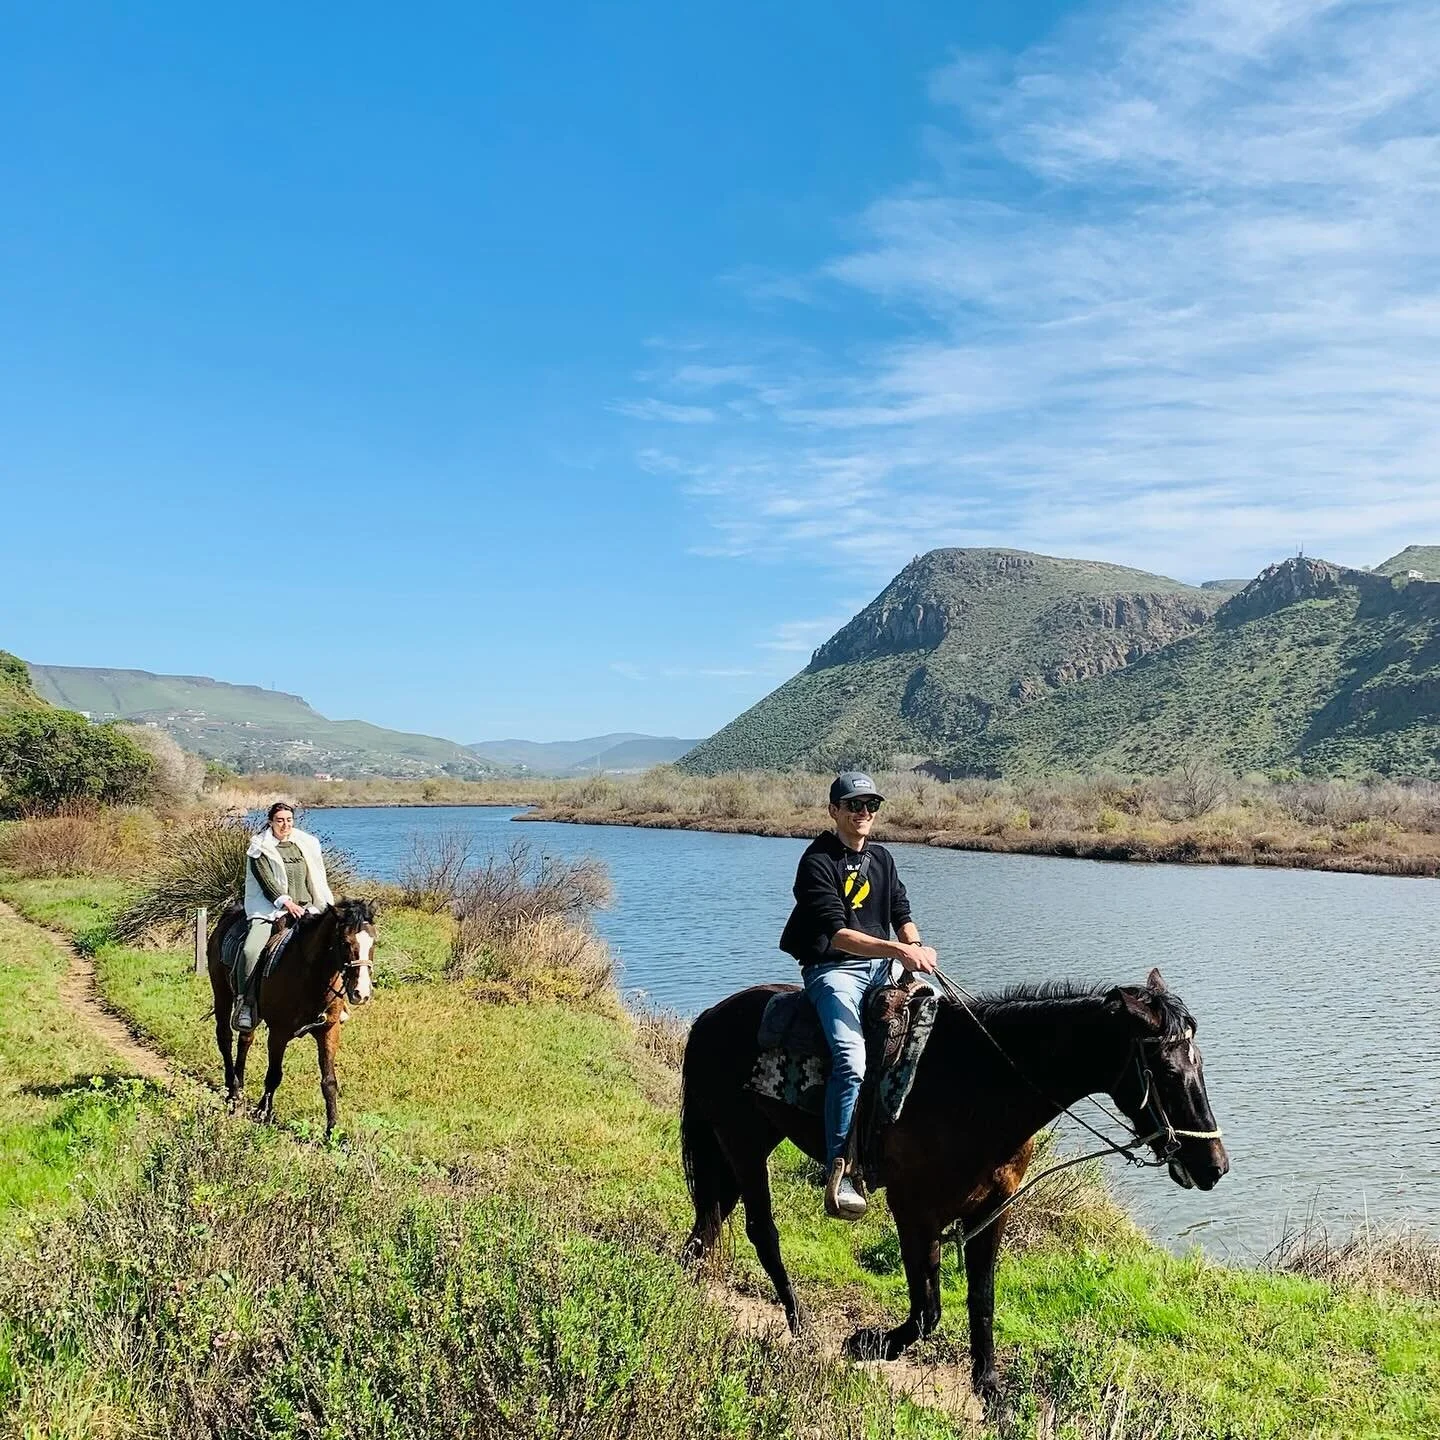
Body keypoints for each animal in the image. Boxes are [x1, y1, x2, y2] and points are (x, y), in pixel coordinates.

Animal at [207, 898, 377, 1137]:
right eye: (345, 942)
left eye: (374, 942)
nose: (361, 993)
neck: (311, 975)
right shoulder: (279, 1032)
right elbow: (274, 1074)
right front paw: (263, 1112)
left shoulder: (329, 1030)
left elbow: (329, 1081)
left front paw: (332, 1130)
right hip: (221, 992)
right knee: (224, 1038)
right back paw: (232, 1092)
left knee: (245, 1040)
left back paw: (239, 1088)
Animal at [679, 967, 1227, 1404]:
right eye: (1168, 1071)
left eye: (1201, 1064)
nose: (1215, 1166)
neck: (977, 1086)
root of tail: (710, 1017)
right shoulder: (914, 1210)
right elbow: (928, 1310)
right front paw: (868, 1343)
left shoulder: (991, 1210)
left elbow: (980, 1301)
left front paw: (990, 1389)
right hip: (742, 1142)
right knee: (761, 1231)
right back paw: (800, 1326)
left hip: (742, 1144)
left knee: (712, 1217)